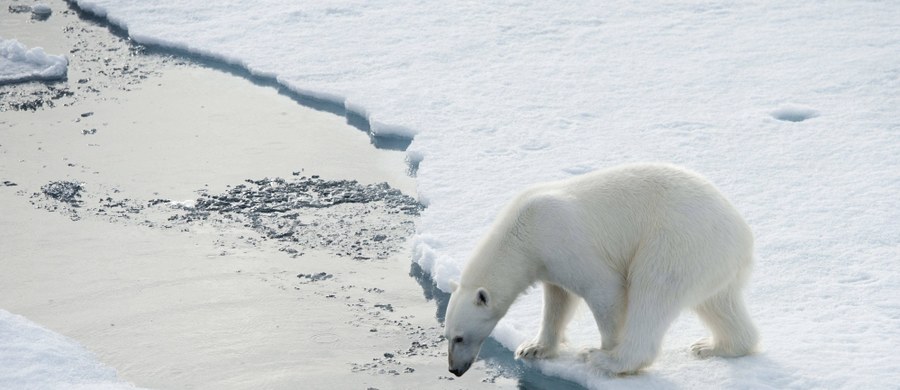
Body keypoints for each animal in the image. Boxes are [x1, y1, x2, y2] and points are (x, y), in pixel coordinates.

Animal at [442, 163, 760, 376]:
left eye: (459, 337)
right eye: (446, 335)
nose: (454, 370)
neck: (523, 232)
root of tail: (742, 234)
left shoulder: (565, 242)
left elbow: (604, 290)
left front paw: (605, 347)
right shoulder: (549, 261)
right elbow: (557, 300)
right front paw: (532, 348)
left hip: (676, 241)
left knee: (653, 291)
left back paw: (609, 360)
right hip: (711, 260)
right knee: (719, 302)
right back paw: (712, 346)